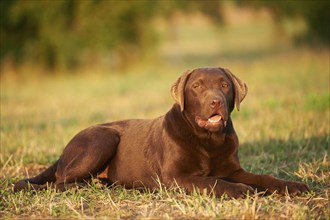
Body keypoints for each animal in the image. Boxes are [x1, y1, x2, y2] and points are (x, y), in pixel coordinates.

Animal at [14, 67, 308, 198]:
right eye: (197, 86)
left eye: (225, 85)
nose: (216, 101)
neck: (207, 139)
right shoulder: (176, 177)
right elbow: (215, 182)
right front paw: (244, 190)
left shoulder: (233, 169)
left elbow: (263, 177)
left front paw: (293, 185)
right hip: (104, 137)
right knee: (59, 182)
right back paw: (92, 185)